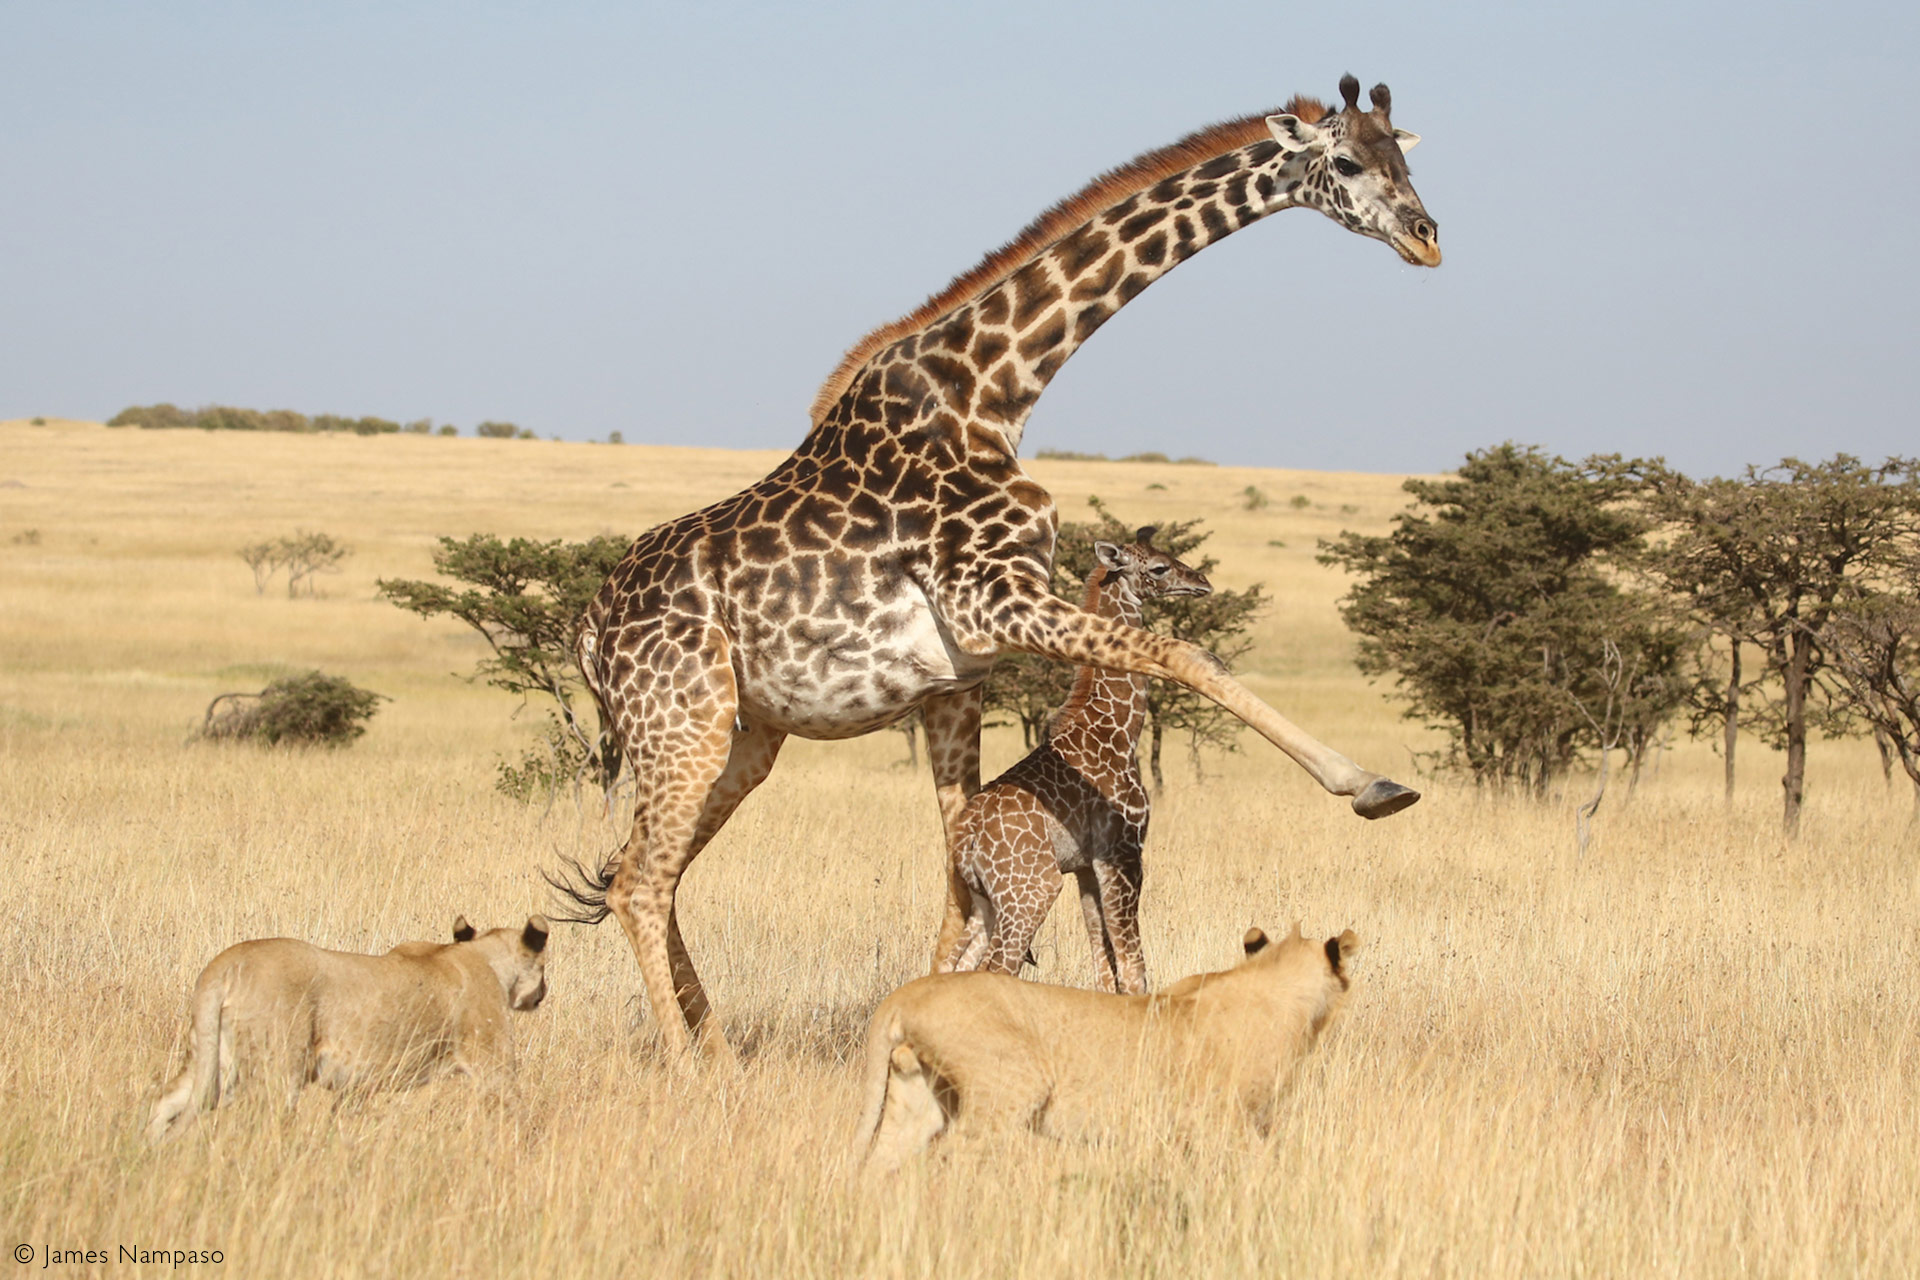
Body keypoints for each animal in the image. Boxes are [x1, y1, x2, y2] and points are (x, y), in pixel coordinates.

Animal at [149, 909, 549, 1143]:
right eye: (544, 967)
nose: (544, 991)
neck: (482, 957)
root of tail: (225, 964)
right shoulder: (492, 1060)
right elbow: (517, 1109)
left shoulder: (358, 1084)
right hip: (279, 1068)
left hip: (217, 1060)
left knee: (166, 1102)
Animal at [848, 921, 1359, 1174]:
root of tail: (907, 993)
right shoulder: (1222, 1121)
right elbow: (1265, 1167)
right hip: (1013, 1086)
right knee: (954, 1156)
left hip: (918, 1097)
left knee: (880, 1160)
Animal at [936, 529, 1205, 990]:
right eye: (1159, 568)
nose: (1201, 581)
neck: (1118, 728)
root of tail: (966, 837)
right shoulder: (1123, 850)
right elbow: (1133, 968)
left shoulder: (1086, 867)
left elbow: (1105, 968)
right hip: (1031, 890)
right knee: (996, 966)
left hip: (984, 899)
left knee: (951, 967)